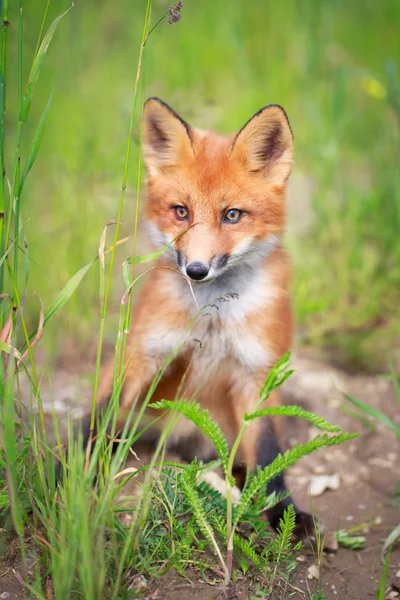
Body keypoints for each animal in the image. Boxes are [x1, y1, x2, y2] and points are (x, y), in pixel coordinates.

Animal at [83, 97, 312, 540]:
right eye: (181, 212)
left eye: (232, 215)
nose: (196, 270)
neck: (213, 317)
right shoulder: (144, 352)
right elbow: (97, 421)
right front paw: (67, 475)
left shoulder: (257, 371)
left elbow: (268, 451)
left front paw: (283, 512)